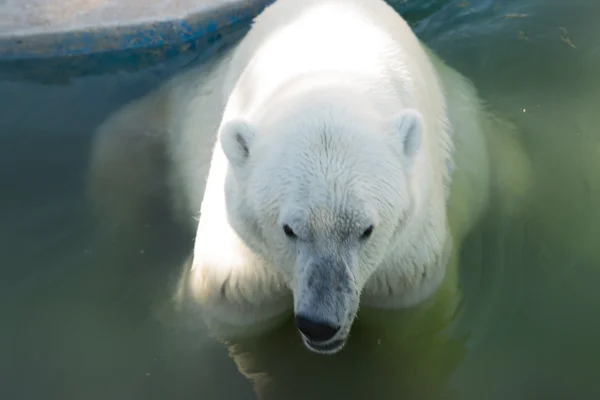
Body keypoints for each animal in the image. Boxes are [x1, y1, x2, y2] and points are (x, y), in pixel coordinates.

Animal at [88, 0, 528, 360]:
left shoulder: (407, 262)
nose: (320, 325)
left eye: (367, 230)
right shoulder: (241, 256)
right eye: (289, 229)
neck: (325, 75)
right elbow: (228, 305)